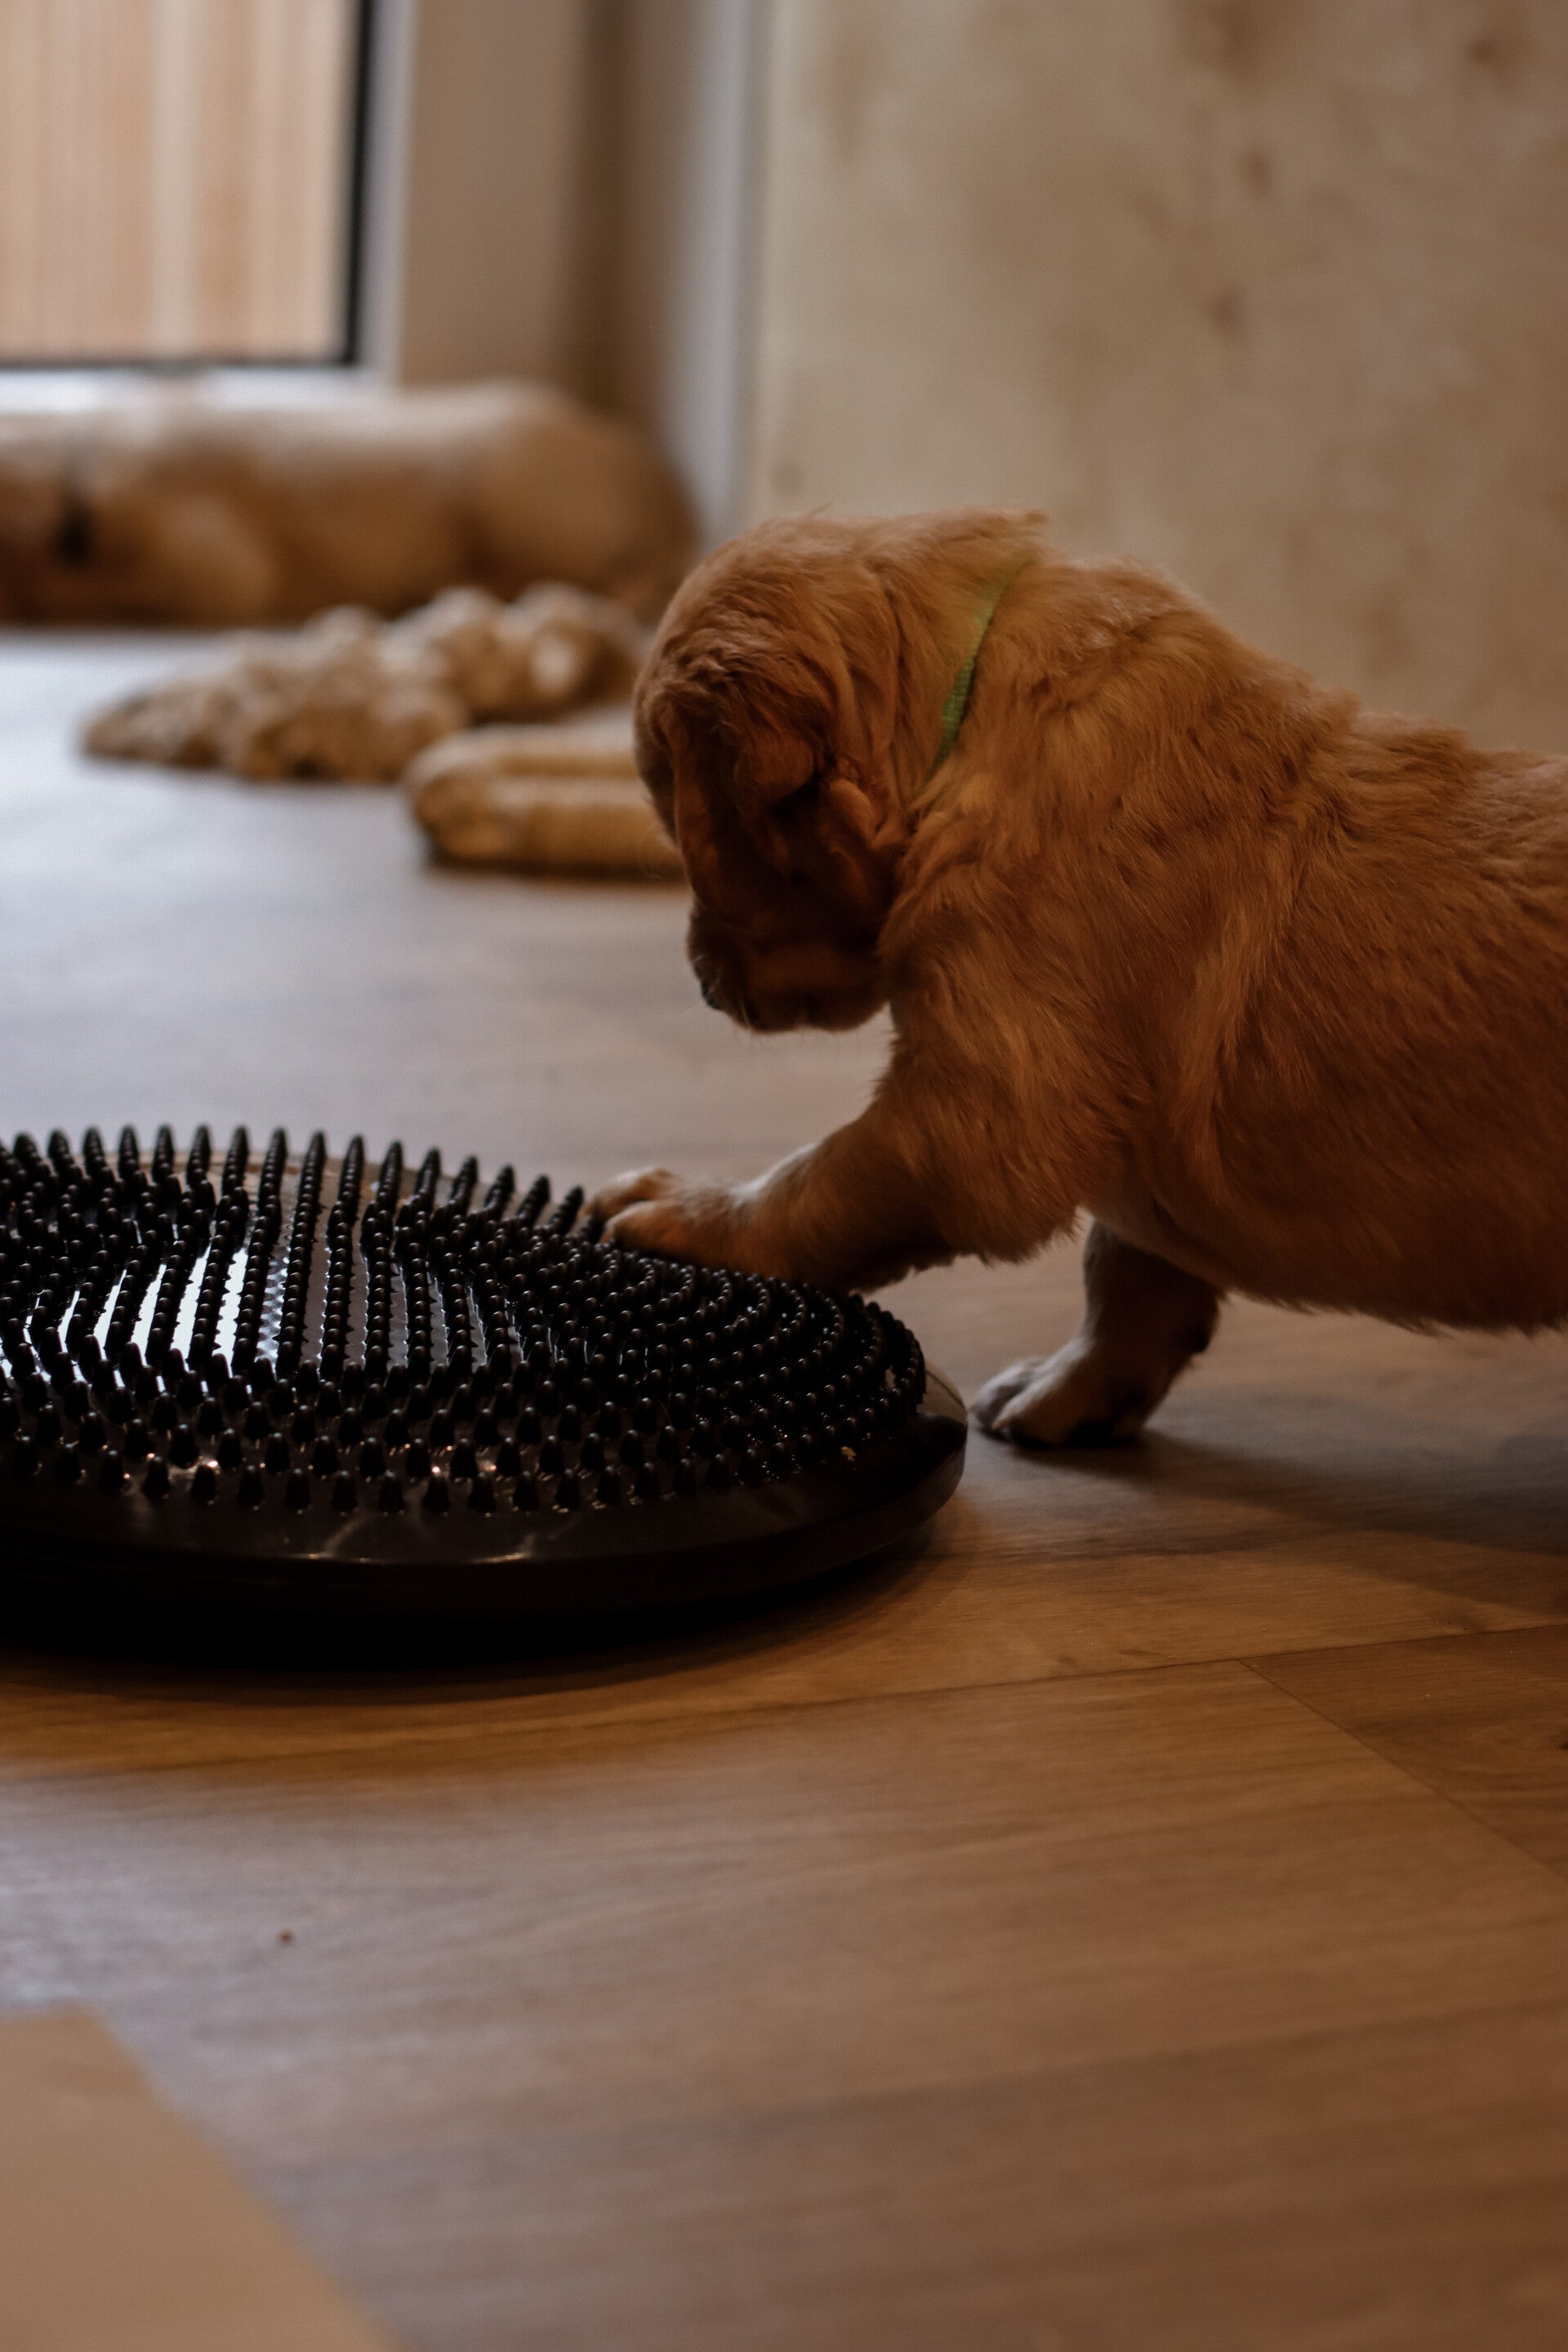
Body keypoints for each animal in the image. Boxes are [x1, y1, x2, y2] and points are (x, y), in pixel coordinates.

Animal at [591, 509, 1568, 1445]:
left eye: (685, 834)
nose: (704, 985)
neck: (968, 716)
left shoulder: (980, 1110)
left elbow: (819, 1179)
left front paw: (690, 1217)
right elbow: (1128, 1267)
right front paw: (1078, 1389)